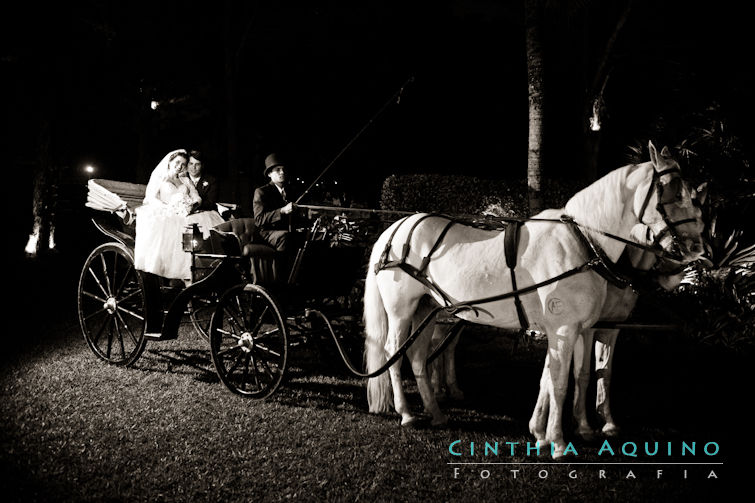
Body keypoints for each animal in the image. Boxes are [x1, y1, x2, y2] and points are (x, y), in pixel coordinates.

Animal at [366, 142, 708, 456]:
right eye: (673, 192)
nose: (697, 248)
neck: (584, 242)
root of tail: (395, 229)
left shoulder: (577, 328)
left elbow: (564, 376)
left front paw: (544, 433)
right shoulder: (565, 329)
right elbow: (560, 383)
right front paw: (557, 441)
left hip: (428, 308)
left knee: (416, 356)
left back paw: (436, 413)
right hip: (401, 310)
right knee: (393, 351)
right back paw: (407, 413)